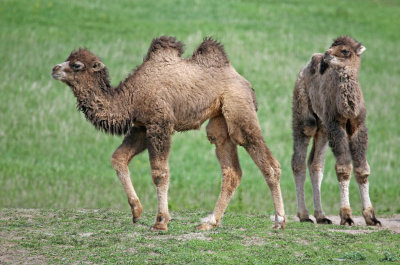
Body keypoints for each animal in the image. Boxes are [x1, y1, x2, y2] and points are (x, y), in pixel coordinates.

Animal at [51, 36, 286, 230]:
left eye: (77, 65)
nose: (54, 68)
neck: (131, 96)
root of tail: (245, 82)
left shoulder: (160, 123)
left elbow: (159, 173)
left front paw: (161, 221)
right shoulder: (142, 126)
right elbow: (118, 158)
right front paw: (136, 211)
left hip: (239, 109)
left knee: (267, 162)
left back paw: (279, 221)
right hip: (219, 120)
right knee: (231, 170)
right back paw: (209, 223)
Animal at [290, 35, 382, 225]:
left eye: (345, 50)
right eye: (332, 46)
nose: (326, 54)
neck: (348, 109)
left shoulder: (358, 126)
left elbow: (362, 169)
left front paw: (371, 217)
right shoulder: (336, 125)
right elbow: (344, 168)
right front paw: (346, 216)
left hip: (323, 127)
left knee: (316, 164)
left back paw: (321, 216)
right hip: (304, 112)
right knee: (299, 158)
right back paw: (304, 215)